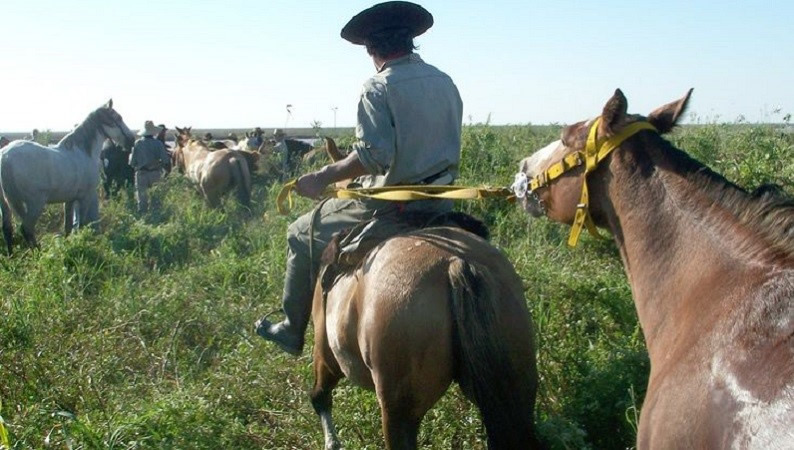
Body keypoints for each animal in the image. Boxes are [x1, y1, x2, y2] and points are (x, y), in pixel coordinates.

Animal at [0, 99, 134, 253]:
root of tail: (5, 157)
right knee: (26, 229)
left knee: (7, 229)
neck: (83, 152)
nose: (131, 140)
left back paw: (11, 255)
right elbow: (81, 224)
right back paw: (38, 252)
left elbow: (68, 227)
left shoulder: (69, 200)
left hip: (5, 204)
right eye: (118, 118)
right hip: (35, 203)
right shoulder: (85, 197)